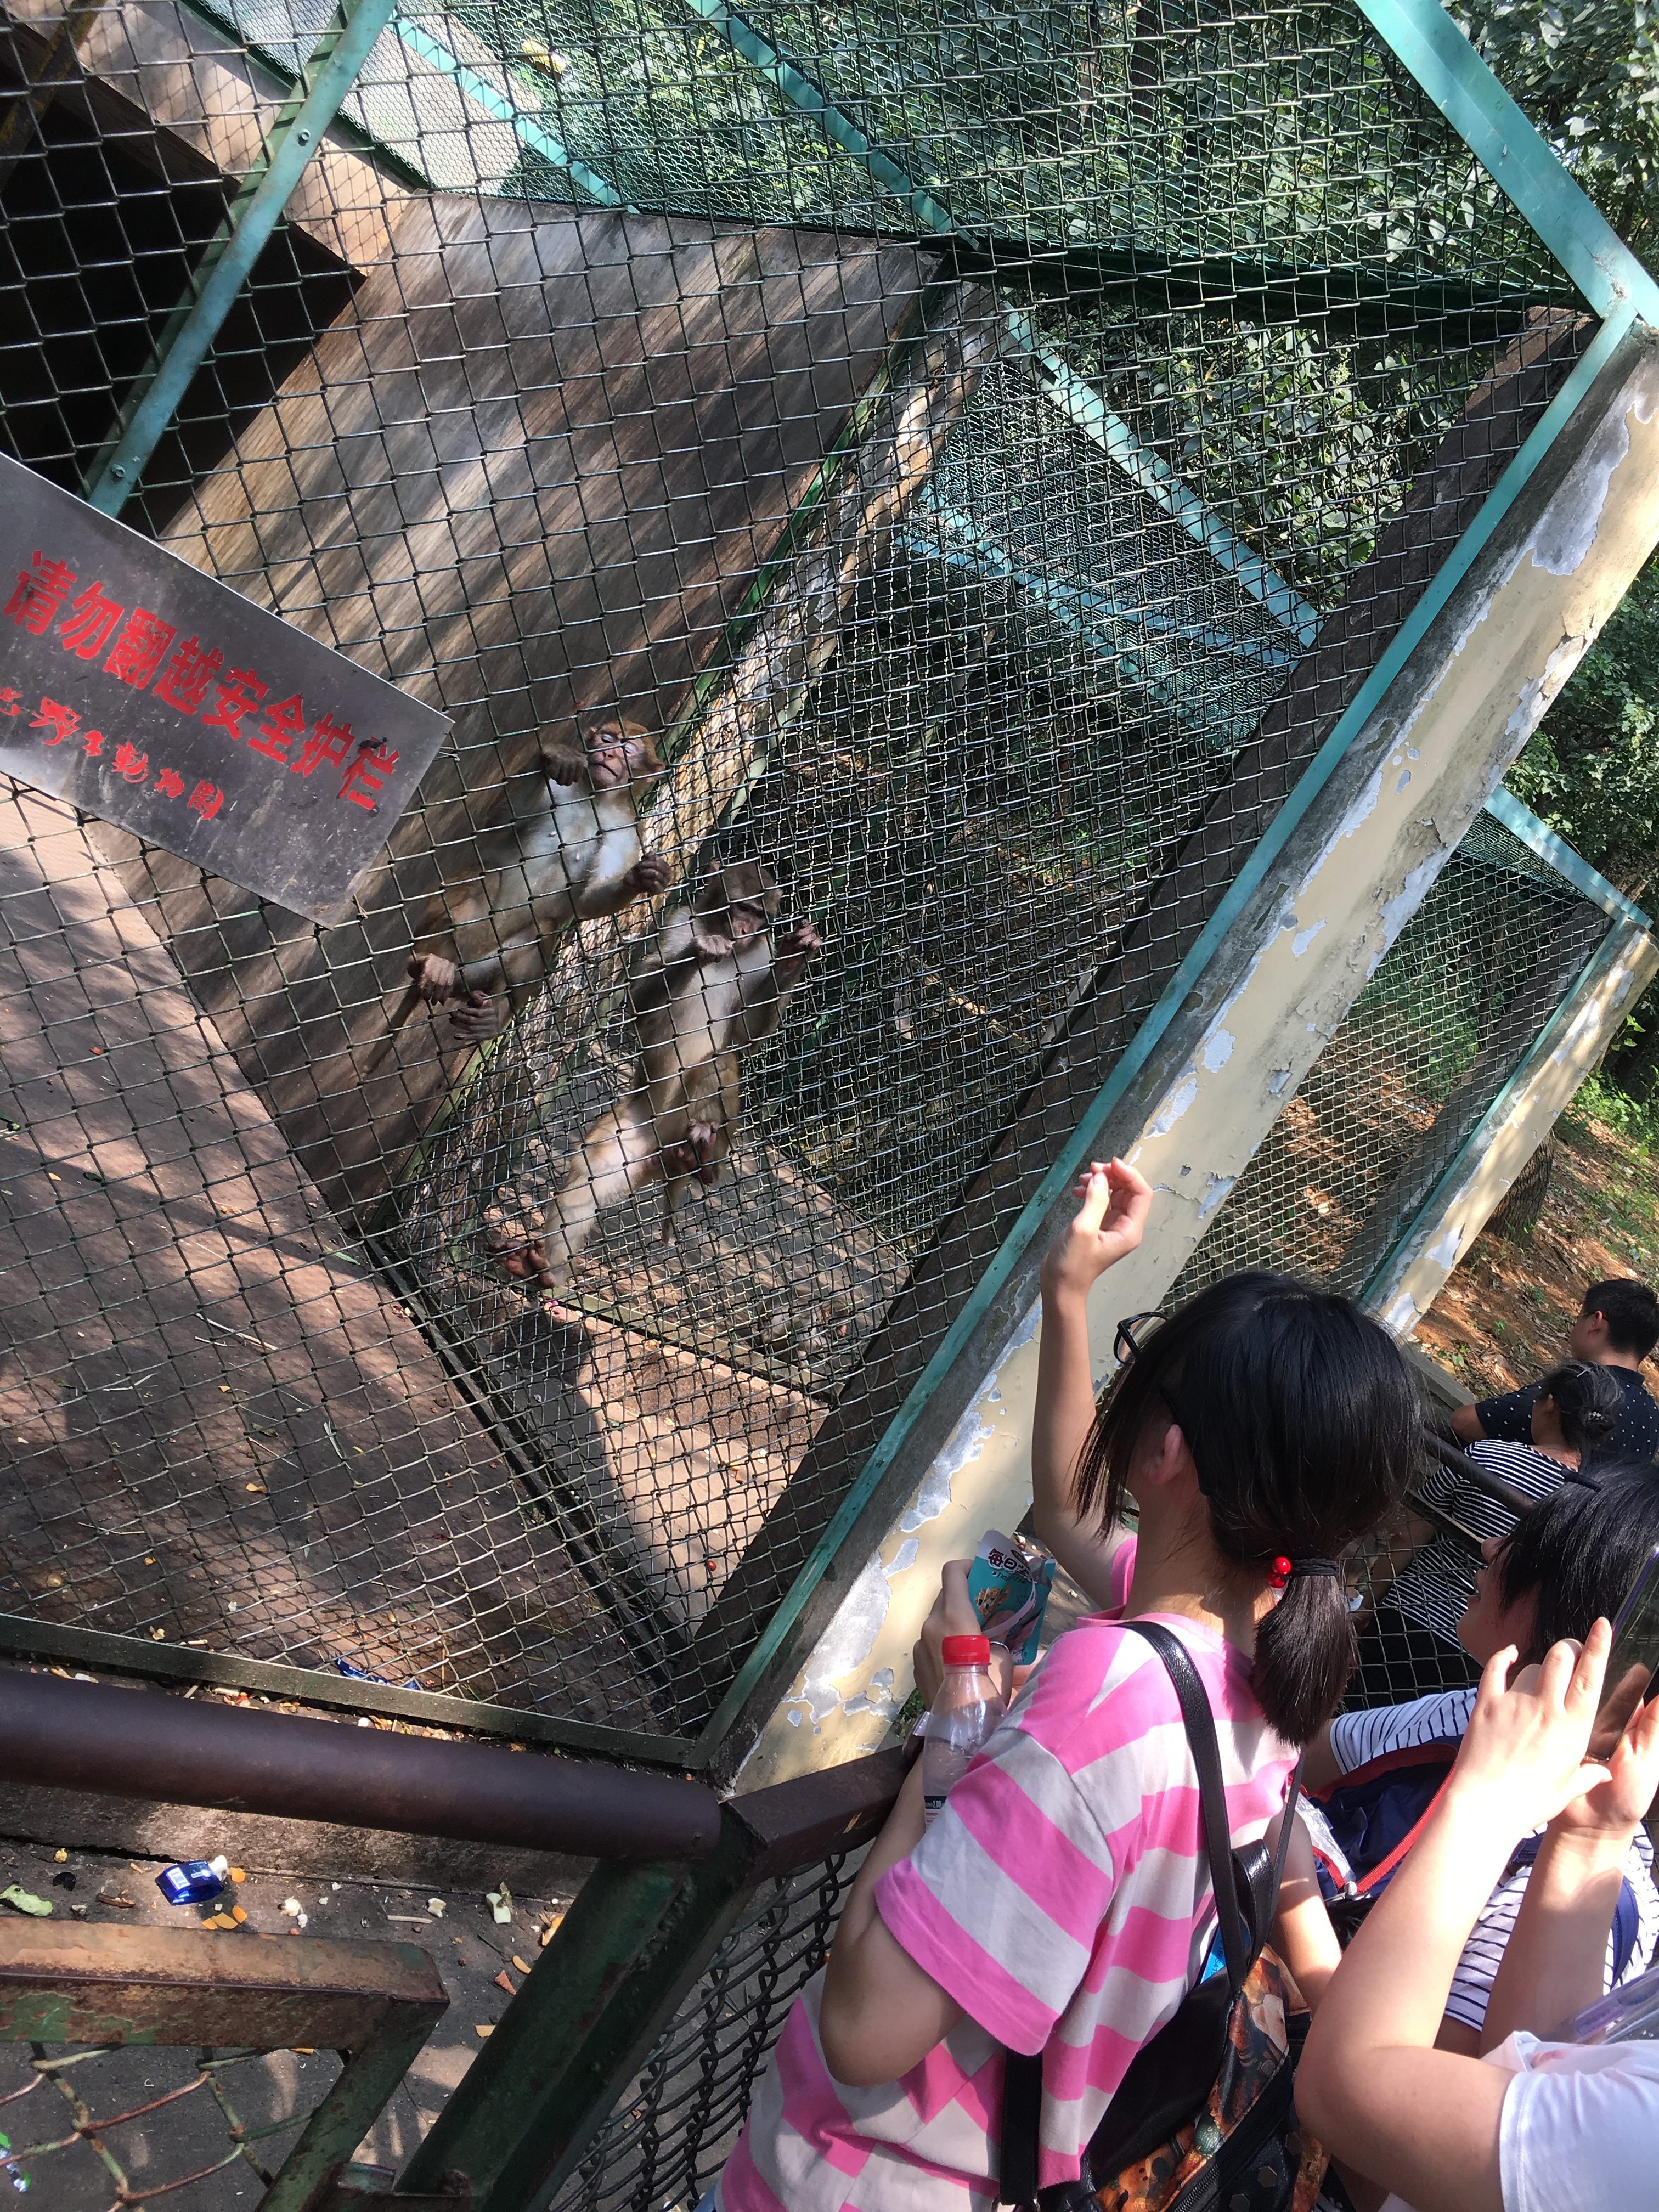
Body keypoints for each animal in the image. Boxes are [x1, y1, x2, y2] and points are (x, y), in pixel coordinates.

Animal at [398, 716, 668, 1044]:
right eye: (607, 739)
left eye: (628, 750)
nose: (608, 755)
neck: (596, 797)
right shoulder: (557, 791)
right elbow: (495, 825)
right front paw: (557, 757)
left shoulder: (625, 828)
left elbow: (589, 900)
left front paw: (642, 878)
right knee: (487, 878)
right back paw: (426, 961)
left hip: (479, 970)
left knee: (542, 928)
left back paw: (491, 1018)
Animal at [487, 854, 827, 1291]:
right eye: (742, 908)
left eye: (759, 915)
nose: (745, 930)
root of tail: (670, 1152)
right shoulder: (679, 923)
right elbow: (639, 1002)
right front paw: (699, 953)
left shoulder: (760, 953)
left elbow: (744, 1037)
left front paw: (794, 957)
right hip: (638, 1131)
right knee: (592, 1172)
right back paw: (546, 1267)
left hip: (715, 1136)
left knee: (718, 1062)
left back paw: (704, 1155)